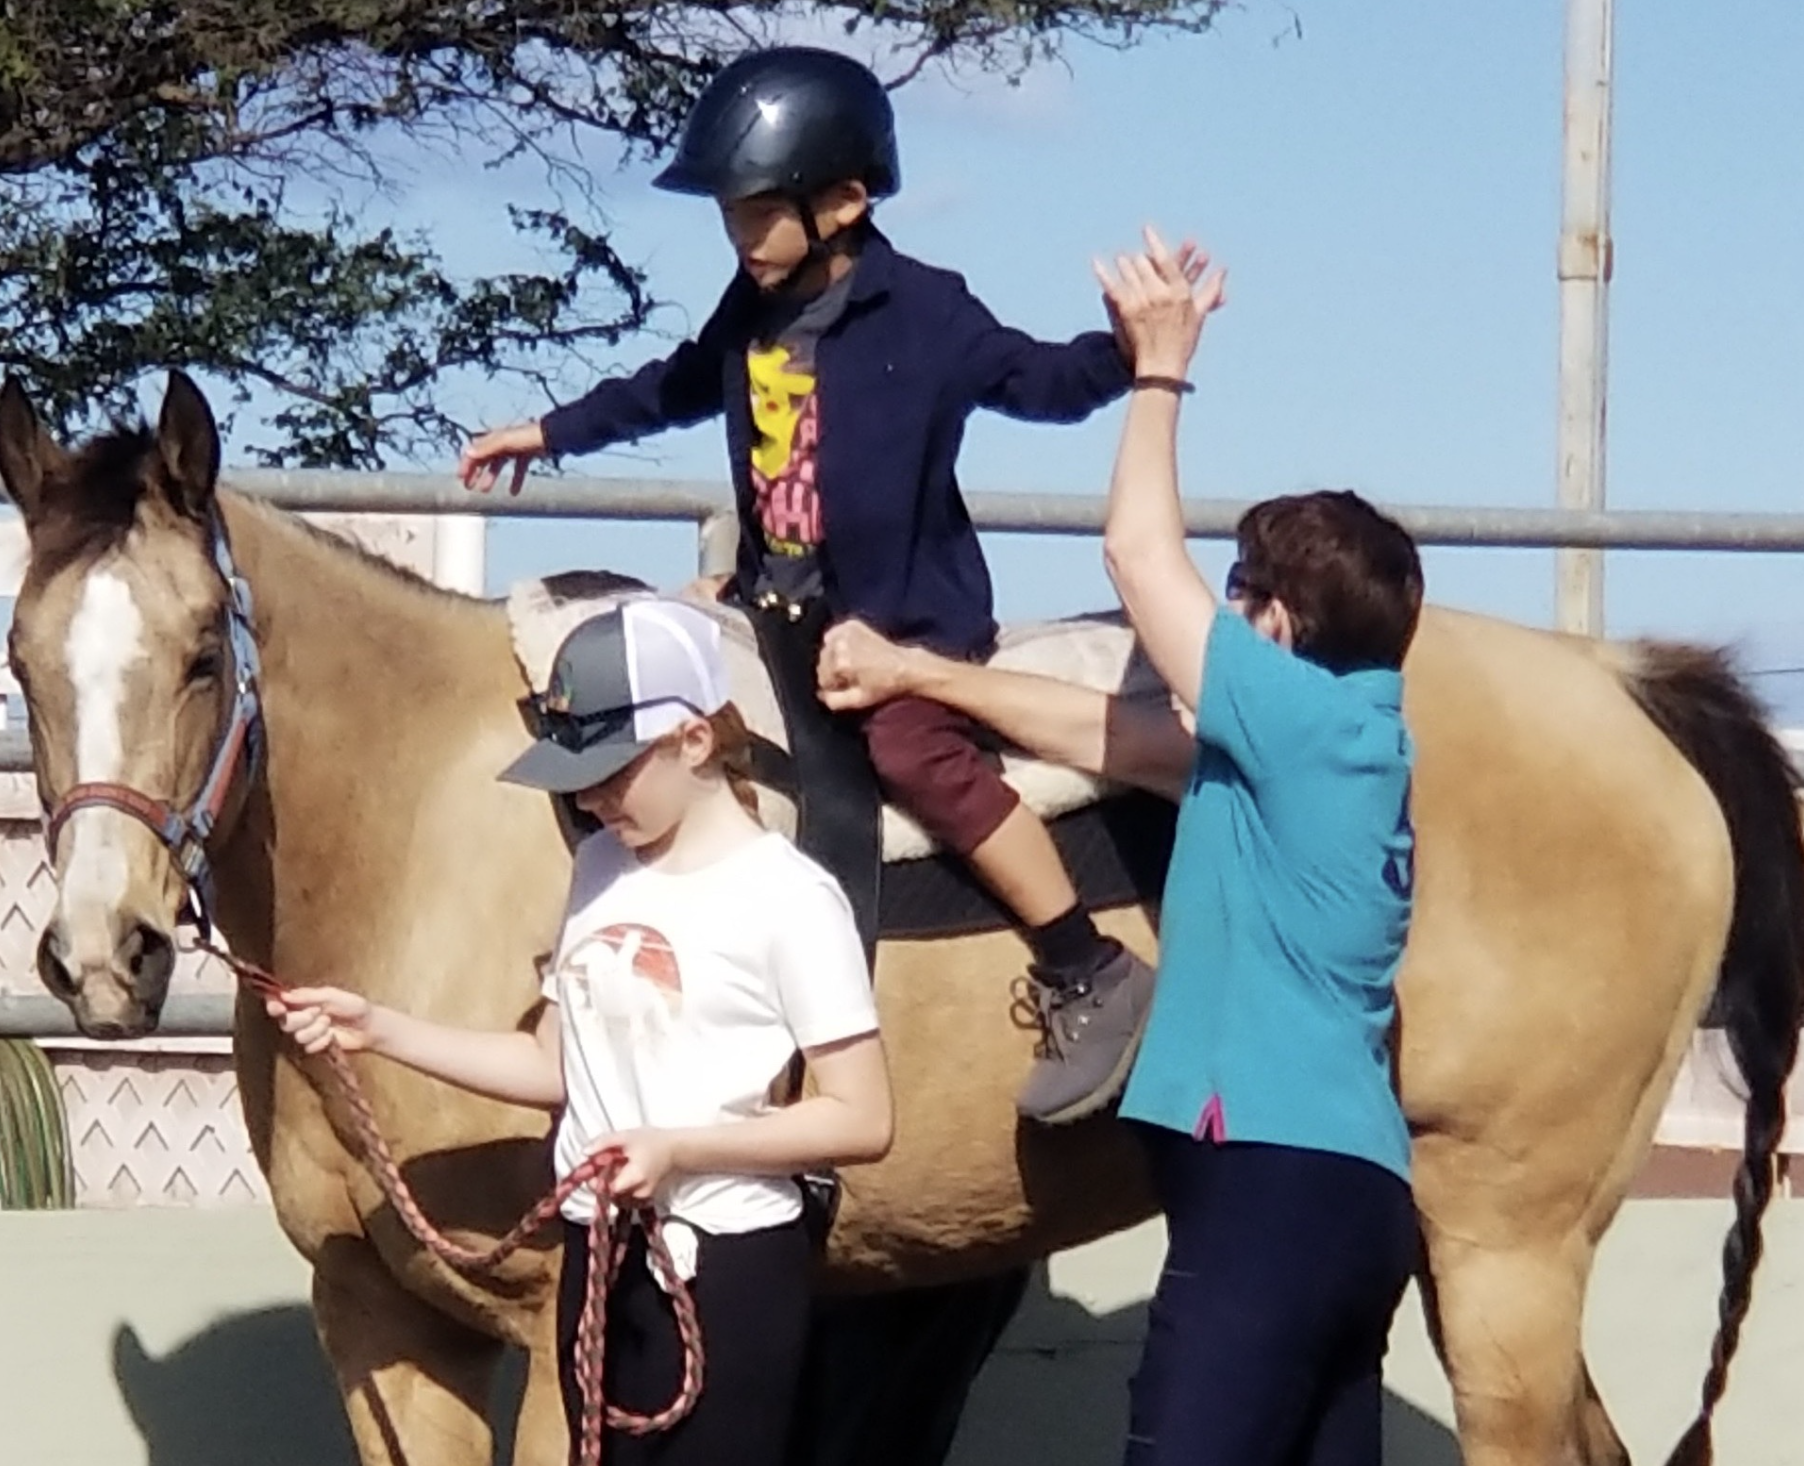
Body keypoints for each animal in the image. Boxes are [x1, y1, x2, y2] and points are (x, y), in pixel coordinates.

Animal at [0, 370, 1797, 1466]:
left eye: (197, 655)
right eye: (26, 658)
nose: (101, 956)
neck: (434, 830)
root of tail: (1627, 688)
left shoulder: (567, 1319)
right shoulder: (381, 1326)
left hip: (1501, 1243)